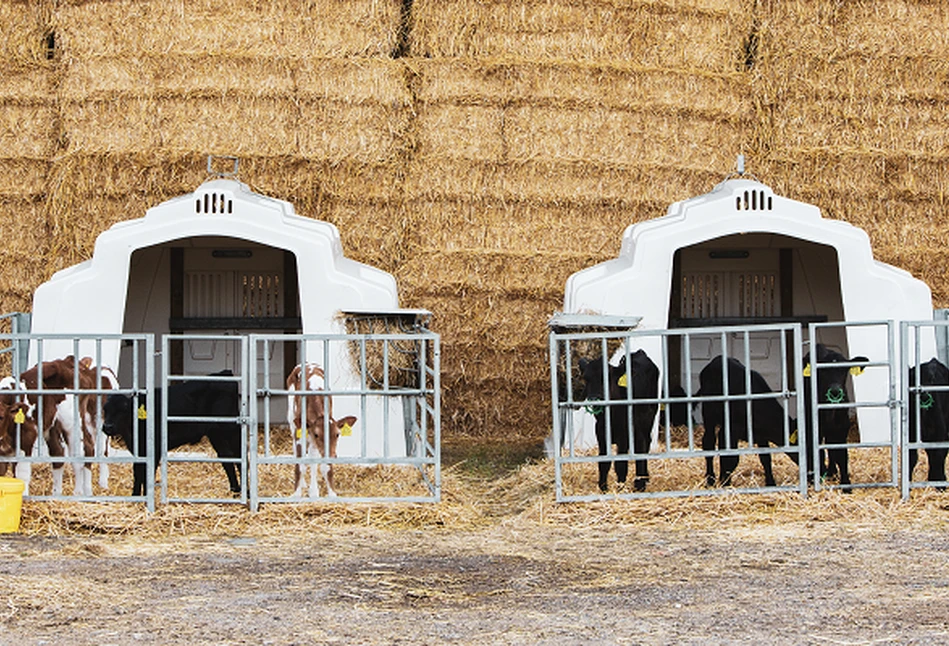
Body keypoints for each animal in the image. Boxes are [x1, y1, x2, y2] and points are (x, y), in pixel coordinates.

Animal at [286, 364, 356, 502]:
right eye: (317, 434)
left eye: (337, 434)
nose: (333, 456)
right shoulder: (300, 433)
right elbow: (300, 465)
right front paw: (297, 493)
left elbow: (324, 466)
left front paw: (332, 494)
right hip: (291, 418)